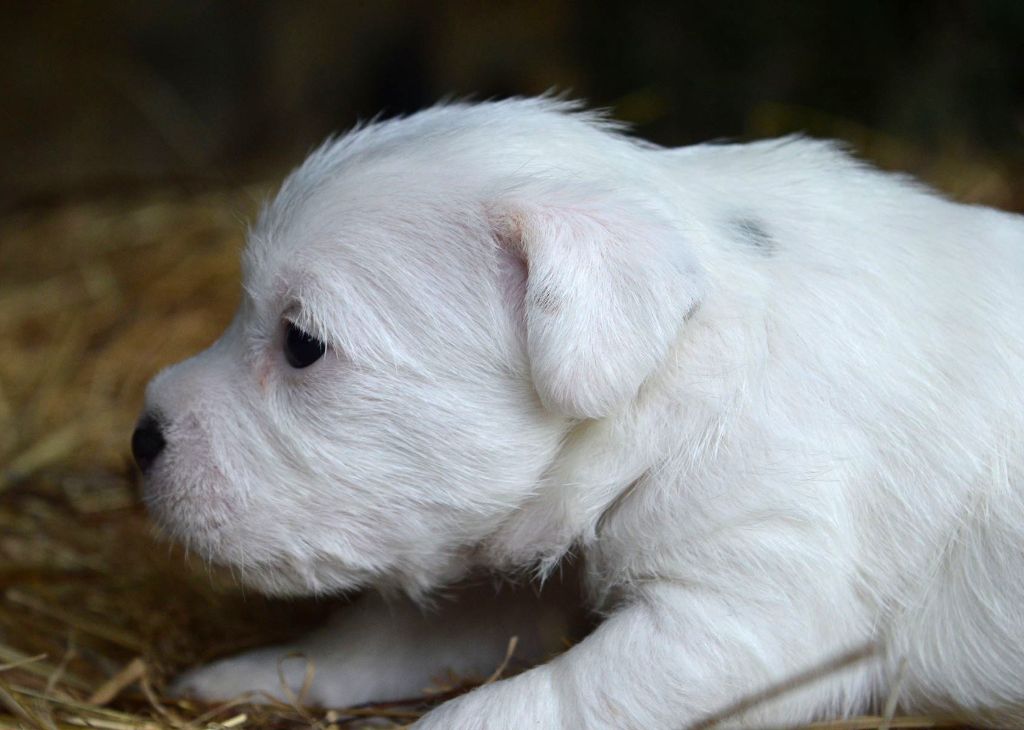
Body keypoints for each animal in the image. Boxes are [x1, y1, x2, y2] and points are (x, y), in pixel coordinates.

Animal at [134, 98, 1024, 728]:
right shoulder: (506, 572)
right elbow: (377, 638)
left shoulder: (754, 612)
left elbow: (524, 703)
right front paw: (246, 673)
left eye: (302, 344)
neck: (676, 380)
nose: (140, 439)